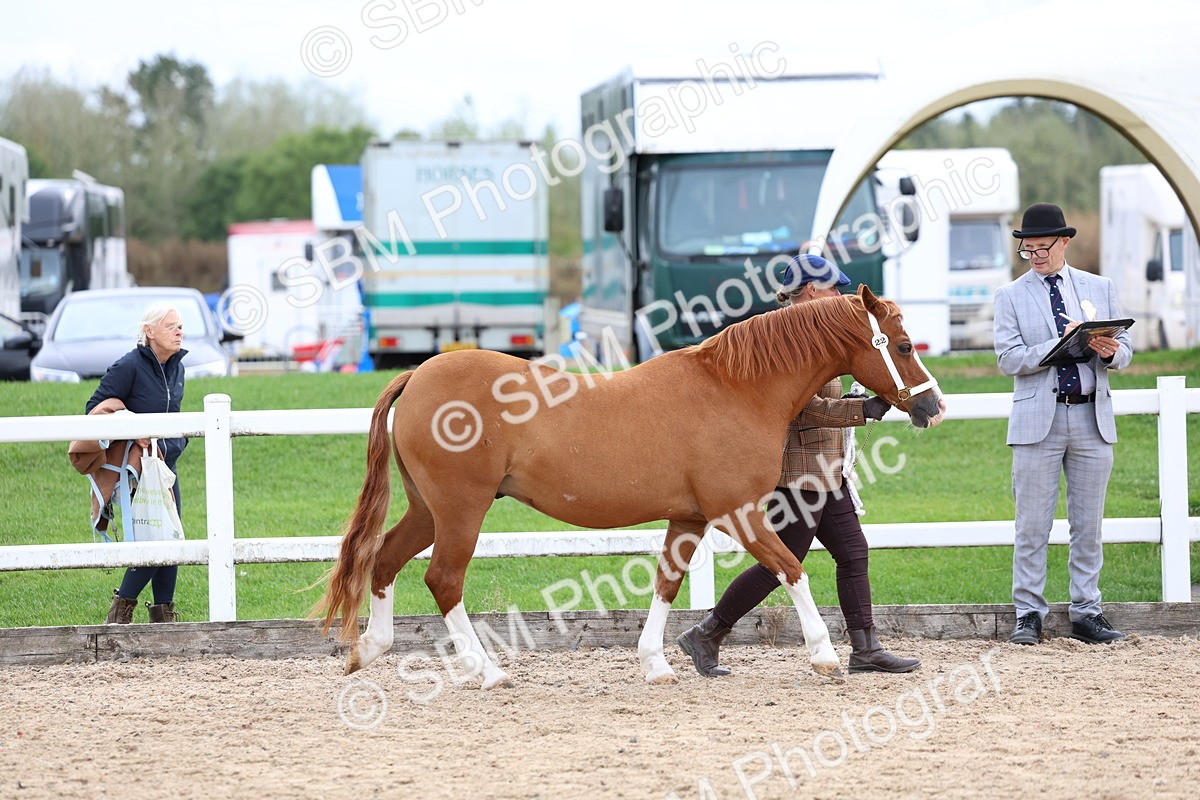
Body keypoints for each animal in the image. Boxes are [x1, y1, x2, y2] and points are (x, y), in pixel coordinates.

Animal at [317, 284, 945, 687]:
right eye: (904, 346)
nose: (933, 407)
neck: (736, 388)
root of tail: (419, 373)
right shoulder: (739, 512)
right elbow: (791, 569)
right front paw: (824, 656)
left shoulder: (690, 517)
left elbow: (668, 583)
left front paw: (656, 663)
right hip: (460, 510)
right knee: (442, 579)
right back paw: (487, 672)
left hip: (429, 509)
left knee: (384, 559)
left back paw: (369, 650)